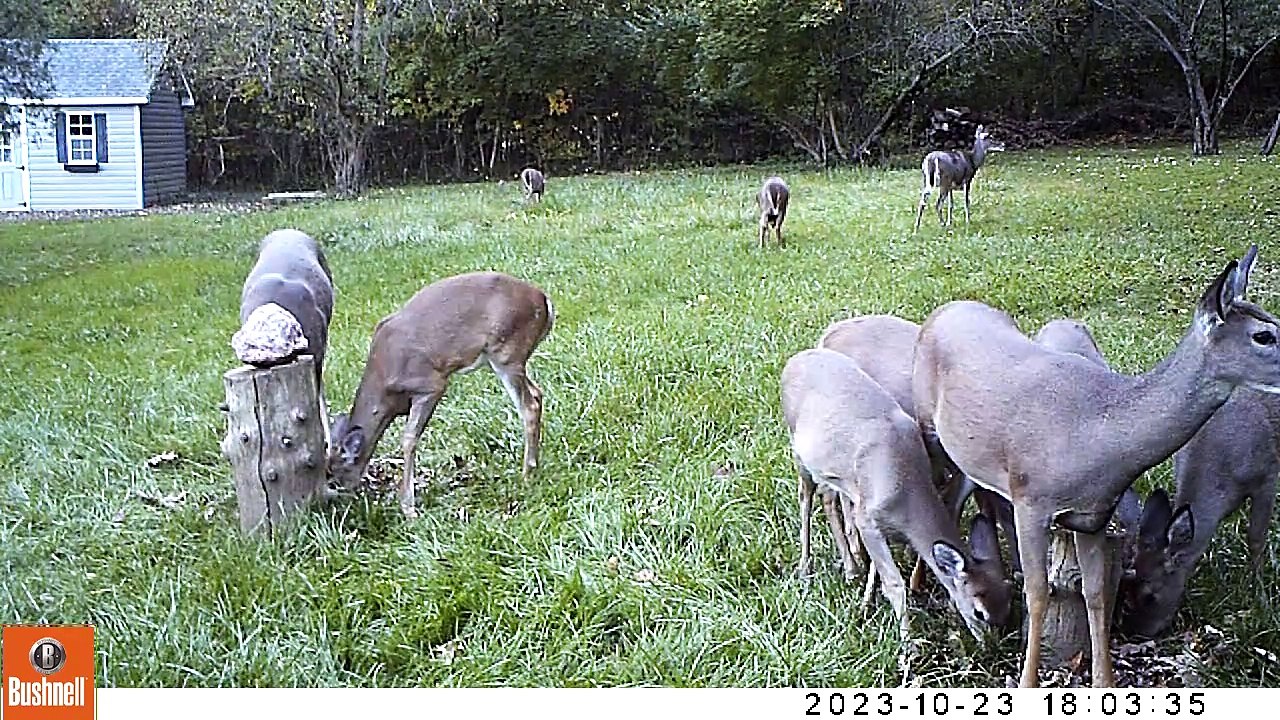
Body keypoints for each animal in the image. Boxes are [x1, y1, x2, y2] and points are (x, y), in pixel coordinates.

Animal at [327, 272, 554, 518]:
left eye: (332, 480)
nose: (337, 508)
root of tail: (545, 301)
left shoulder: (430, 384)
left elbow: (409, 439)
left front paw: (408, 508)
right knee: (537, 393)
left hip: (506, 351)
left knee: (529, 404)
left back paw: (527, 475)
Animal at [782, 347, 1011, 640]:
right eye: (979, 611)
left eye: (1007, 603)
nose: (991, 645)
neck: (906, 494)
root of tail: (794, 360)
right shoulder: (867, 518)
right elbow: (894, 583)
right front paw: (907, 642)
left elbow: (877, 570)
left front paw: (866, 602)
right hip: (798, 450)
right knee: (805, 496)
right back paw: (805, 567)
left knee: (826, 495)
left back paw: (849, 569)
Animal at [1121, 386, 1279, 637]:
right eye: (1125, 589)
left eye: (1150, 596)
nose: (1136, 633)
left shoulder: (1267, 474)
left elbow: (1256, 539)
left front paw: (1260, 597)